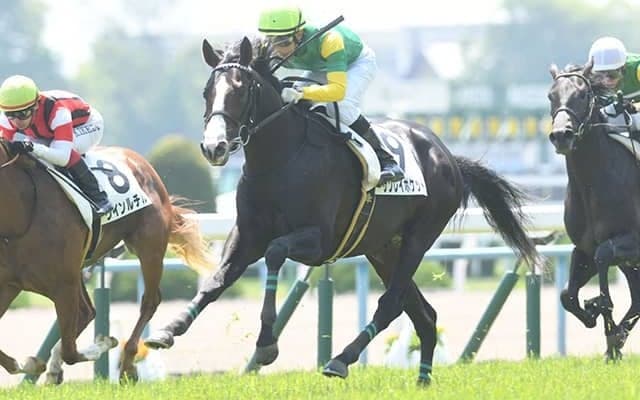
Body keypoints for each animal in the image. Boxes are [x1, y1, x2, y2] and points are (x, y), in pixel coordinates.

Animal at [0, 141, 214, 384]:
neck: (24, 211)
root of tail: (143, 163)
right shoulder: (10, 283)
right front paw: (29, 364)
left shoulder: (63, 285)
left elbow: (71, 352)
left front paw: (104, 343)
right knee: (87, 313)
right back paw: (55, 369)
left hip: (149, 249)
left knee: (148, 302)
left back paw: (128, 364)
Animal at [144, 37, 541, 385]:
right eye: (207, 91)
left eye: (240, 90)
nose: (214, 147)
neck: (280, 159)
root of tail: (449, 157)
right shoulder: (246, 235)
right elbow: (217, 280)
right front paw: (168, 329)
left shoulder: (318, 241)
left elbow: (275, 253)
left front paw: (266, 343)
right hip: (384, 249)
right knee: (424, 315)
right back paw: (423, 379)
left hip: (418, 238)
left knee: (391, 304)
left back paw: (341, 360)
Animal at [548, 62, 640, 360]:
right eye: (551, 96)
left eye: (582, 95)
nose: (561, 135)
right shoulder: (584, 247)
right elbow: (566, 295)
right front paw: (594, 316)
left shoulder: (630, 242)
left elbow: (604, 255)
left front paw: (602, 311)